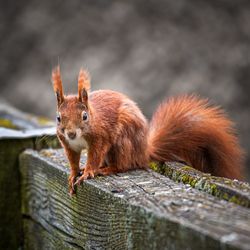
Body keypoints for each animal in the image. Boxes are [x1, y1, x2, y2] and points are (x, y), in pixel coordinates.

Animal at [51, 65, 244, 194]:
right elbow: (73, 160)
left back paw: (104, 169)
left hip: (122, 143)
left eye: (84, 116)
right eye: (58, 118)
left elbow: (94, 155)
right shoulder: (68, 144)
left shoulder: (100, 137)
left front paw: (88, 172)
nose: (71, 133)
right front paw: (74, 174)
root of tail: (144, 151)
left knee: (123, 165)